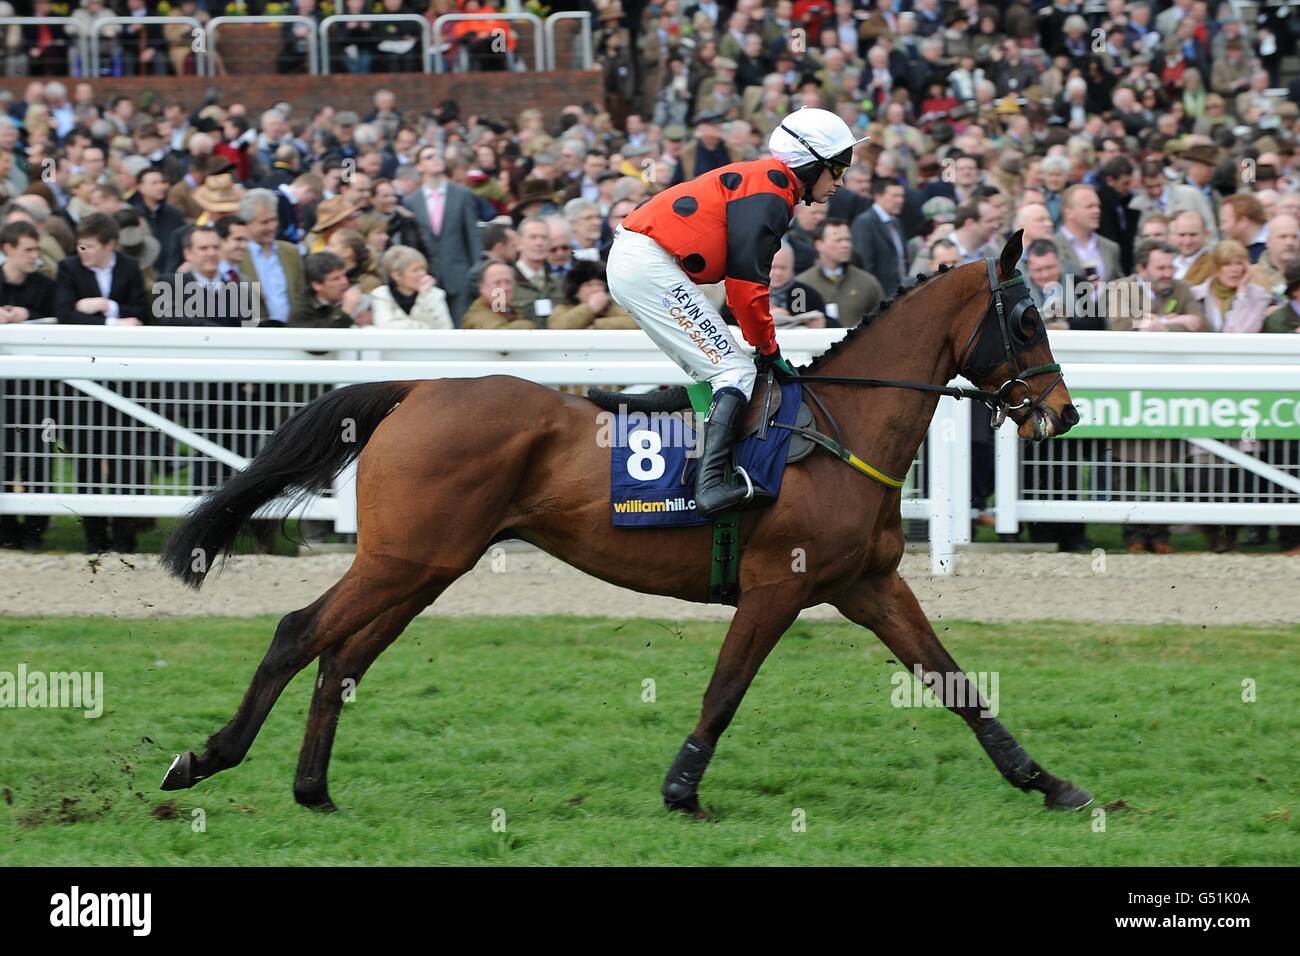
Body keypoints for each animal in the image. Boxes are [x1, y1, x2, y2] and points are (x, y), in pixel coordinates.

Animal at [162, 231, 1097, 816]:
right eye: (1026, 319)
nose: (1066, 413)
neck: (839, 433)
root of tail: (419, 387)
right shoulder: (777, 587)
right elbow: (726, 691)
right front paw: (682, 790)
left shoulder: (869, 584)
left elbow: (956, 682)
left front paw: (1048, 782)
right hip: (403, 559)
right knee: (298, 633)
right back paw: (205, 757)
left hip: (426, 565)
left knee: (343, 660)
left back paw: (313, 790)